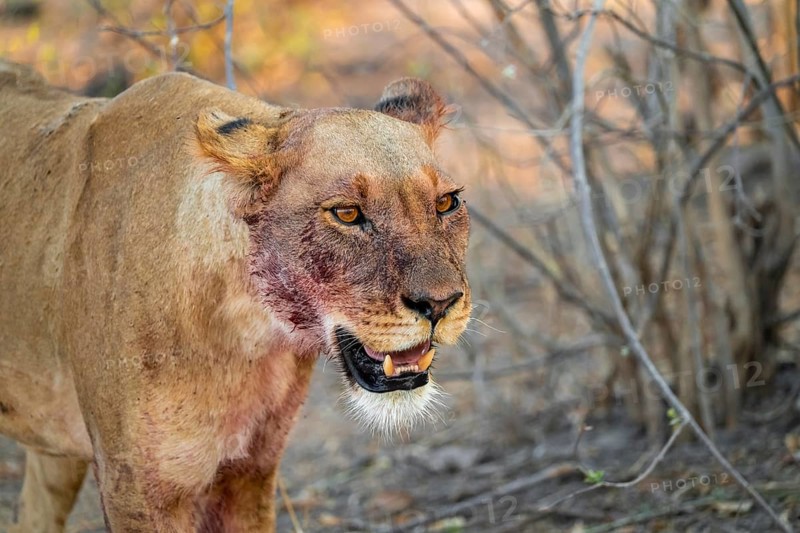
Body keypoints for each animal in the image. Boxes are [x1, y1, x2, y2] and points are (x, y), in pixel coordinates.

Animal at [0, 60, 470, 532]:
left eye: (446, 203)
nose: (440, 303)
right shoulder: (134, 490)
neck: (247, 334)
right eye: (347, 213)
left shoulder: (249, 473)